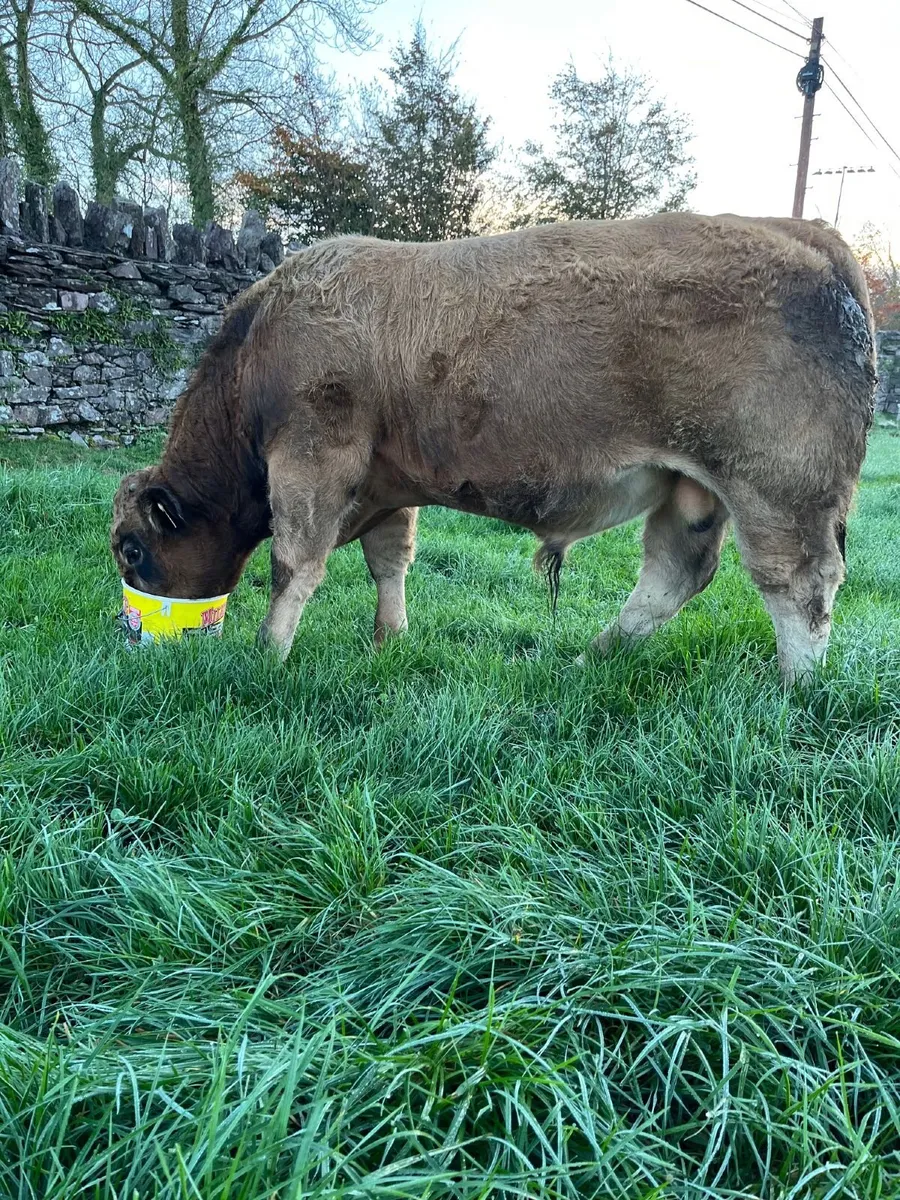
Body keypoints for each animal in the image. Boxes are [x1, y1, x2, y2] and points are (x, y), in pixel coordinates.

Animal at [111, 213, 876, 683]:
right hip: (696, 491)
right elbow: (389, 560)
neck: (259, 344)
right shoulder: (386, 481)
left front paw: (267, 656)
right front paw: (390, 638)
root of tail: (806, 232)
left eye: (131, 550)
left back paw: (794, 688)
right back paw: (591, 659)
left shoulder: (311, 459)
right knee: (673, 575)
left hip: (778, 488)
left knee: (799, 584)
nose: (130, 632)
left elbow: (292, 564)